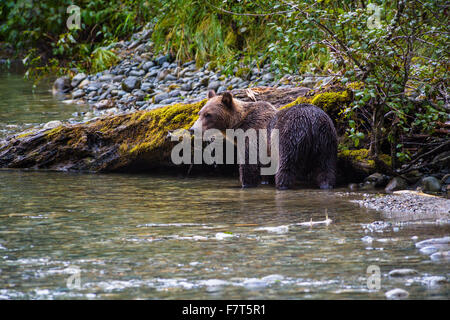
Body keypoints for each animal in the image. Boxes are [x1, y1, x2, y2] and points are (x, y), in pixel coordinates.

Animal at [191, 90, 338, 190]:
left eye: (208, 115)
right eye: (200, 113)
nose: (192, 129)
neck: (237, 125)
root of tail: (312, 122)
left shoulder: (253, 135)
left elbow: (248, 164)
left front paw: (246, 184)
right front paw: (263, 181)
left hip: (290, 136)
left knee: (286, 166)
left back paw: (282, 185)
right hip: (326, 141)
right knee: (326, 167)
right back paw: (326, 185)